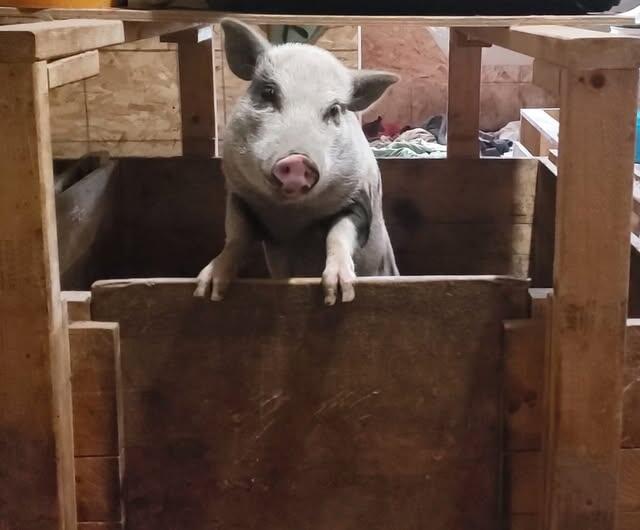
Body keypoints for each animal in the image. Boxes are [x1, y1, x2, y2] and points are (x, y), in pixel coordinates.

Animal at [194, 18, 399, 305]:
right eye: (268, 92)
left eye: (334, 109)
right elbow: (236, 237)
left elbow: (339, 234)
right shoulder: (239, 197)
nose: (298, 160)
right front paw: (207, 291)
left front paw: (338, 293)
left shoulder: (360, 199)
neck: (292, 217)